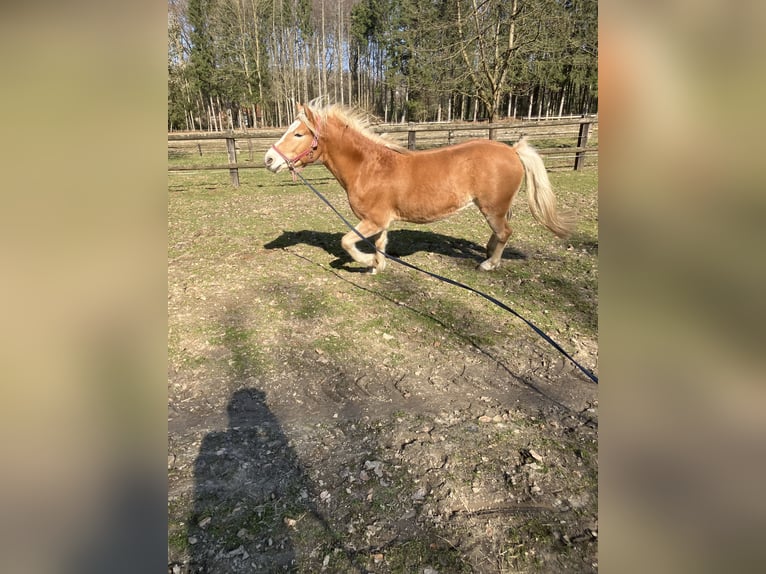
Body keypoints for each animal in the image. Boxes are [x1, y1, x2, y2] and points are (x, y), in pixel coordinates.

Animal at [264, 101, 573, 273]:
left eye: (299, 133)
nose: (269, 159)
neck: (369, 167)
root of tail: (512, 150)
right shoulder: (380, 220)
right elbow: (380, 243)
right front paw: (378, 265)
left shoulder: (373, 220)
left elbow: (347, 242)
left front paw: (367, 262)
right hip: (494, 207)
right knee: (499, 233)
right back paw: (487, 252)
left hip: (492, 207)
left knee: (505, 232)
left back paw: (489, 264)